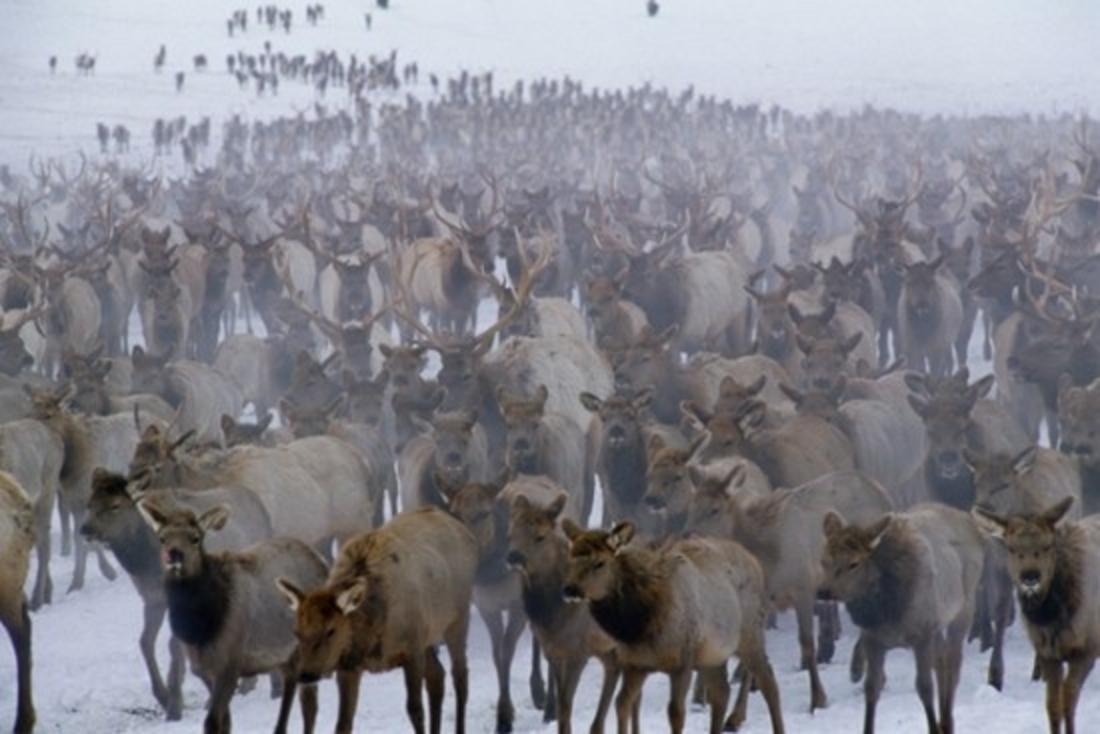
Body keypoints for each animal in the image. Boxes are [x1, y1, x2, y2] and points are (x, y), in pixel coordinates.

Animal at [137, 501, 325, 734]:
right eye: (162, 538)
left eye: (195, 537)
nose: (174, 555)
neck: (200, 630)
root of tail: (321, 562)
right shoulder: (203, 670)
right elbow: (225, 722)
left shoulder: (229, 665)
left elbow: (213, 722)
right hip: (286, 654)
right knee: (293, 687)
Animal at [277, 508, 475, 734]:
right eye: (296, 632)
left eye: (331, 630)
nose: (306, 675)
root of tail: (467, 533)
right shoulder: (349, 666)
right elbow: (343, 724)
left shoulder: (412, 649)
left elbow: (415, 710)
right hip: (429, 634)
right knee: (437, 675)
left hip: (458, 617)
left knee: (460, 675)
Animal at [563, 521, 787, 734]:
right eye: (571, 558)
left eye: (599, 563)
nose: (569, 589)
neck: (641, 625)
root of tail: (755, 562)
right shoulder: (634, 664)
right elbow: (622, 704)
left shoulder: (682, 662)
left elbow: (676, 713)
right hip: (713, 655)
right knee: (721, 693)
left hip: (751, 636)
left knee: (769, 683)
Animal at [822, 506, 985, 734]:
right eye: (824, 559)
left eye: (854, 563)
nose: (824, 592)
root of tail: (969, 520)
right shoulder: (873, 639)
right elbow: (871, 687)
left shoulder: (922, 634)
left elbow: (925, 687)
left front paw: (933, 728)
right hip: (938, 624)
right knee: (942, 660)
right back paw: (945, 722)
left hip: (964, 608)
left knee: (953, 664)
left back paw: (946, 721)